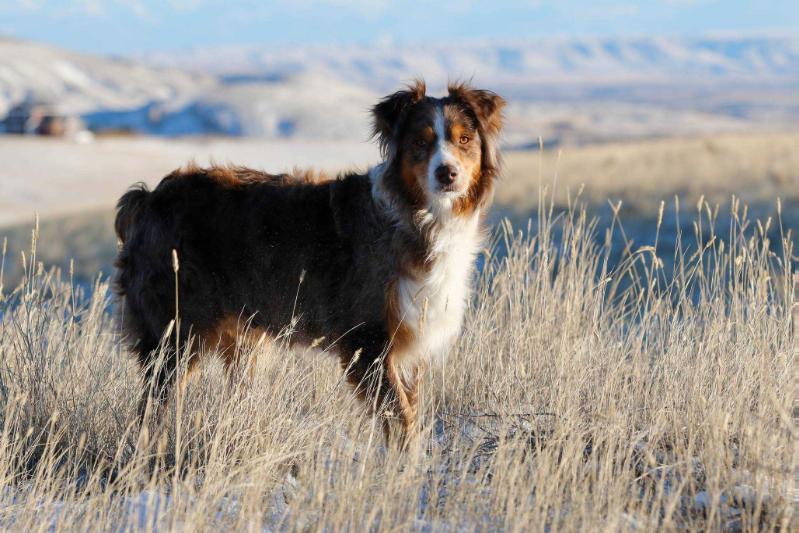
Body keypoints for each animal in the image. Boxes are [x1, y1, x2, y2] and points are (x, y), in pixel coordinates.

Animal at [114, 80, 500, 444]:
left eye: (465, 139)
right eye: (421, 142)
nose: (447, 173)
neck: (422, 217)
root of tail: (147, 198)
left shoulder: (409, 344)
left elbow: (409, 413)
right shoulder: (368, 340)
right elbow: (401, 419)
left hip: (241, 340)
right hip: (174, 333)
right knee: (151, 409)